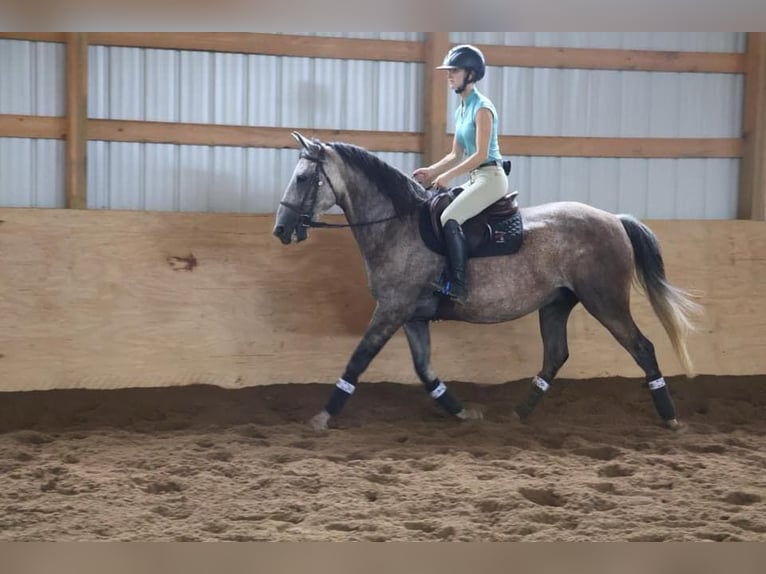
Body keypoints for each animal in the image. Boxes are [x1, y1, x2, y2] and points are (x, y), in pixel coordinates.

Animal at [273, 131, 701, 432]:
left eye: (303, 178)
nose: (280, 229)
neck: (397, 225)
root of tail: (614, 219)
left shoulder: (392, 309)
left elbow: (357, 360)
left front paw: (323, 417)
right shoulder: (411, 316)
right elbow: (425, 371)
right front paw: (463, 412)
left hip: (606, 302)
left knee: (642, 348)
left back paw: (670, 417)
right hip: (557, 303)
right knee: (555, 355)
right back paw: (519, 413)